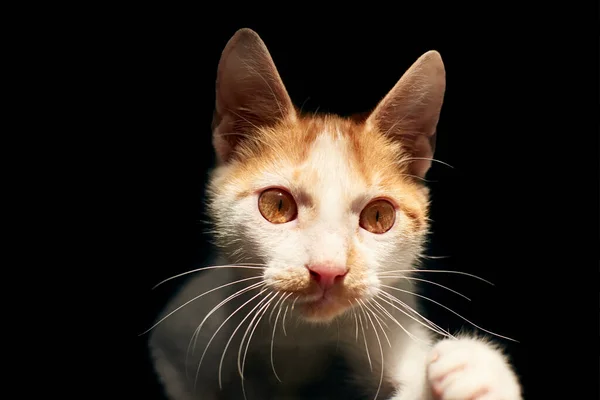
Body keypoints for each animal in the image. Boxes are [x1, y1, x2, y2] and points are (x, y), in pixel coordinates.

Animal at [148, 28, 524, 400]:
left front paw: (478, 370)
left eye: (378, 216)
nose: (328, 270)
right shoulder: (178, 341)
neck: (304, 339)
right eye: (277, 206)